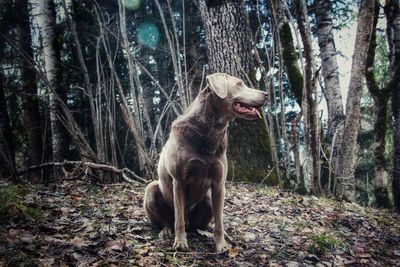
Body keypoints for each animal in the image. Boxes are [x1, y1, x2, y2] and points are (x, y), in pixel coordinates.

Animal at [142, 72, 268, 252]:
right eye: (239, 84)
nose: (266, 94)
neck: (209, 131)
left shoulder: (219, 184)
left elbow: (219, 221)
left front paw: (221, 245)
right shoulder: (178, 181)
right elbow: (178, 218)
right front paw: (180, 243)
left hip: (207, 200)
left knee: (200, 223)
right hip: (151, 188)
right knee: (169, 221)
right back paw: (166, 232)